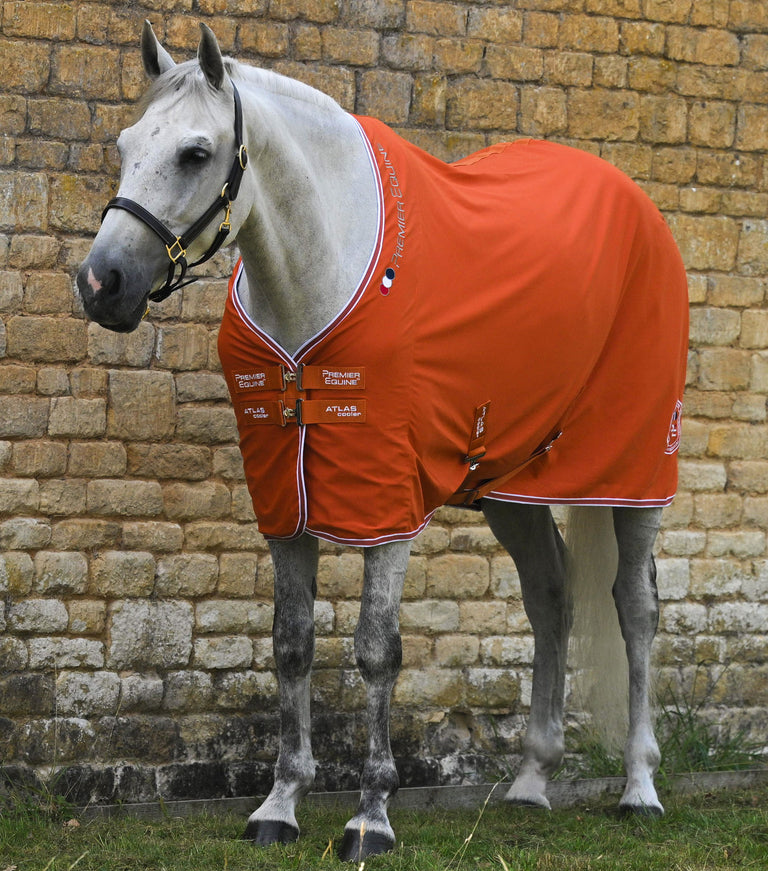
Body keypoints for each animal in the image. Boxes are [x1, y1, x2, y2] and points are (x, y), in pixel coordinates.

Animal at [76, 22, 689, 860]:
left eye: (196, 153)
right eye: (125, 144)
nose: (100, 282)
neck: (322, 276)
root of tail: (641, 210)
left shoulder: (388, 502)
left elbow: (376, 649)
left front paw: (370, 815)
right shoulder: (285, 497)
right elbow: (291, 642)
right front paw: (280, 804)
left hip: (637, 474)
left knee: (636, 608)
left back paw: (640, 787)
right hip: (511, 487)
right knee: (550, 595)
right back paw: (532, 780)